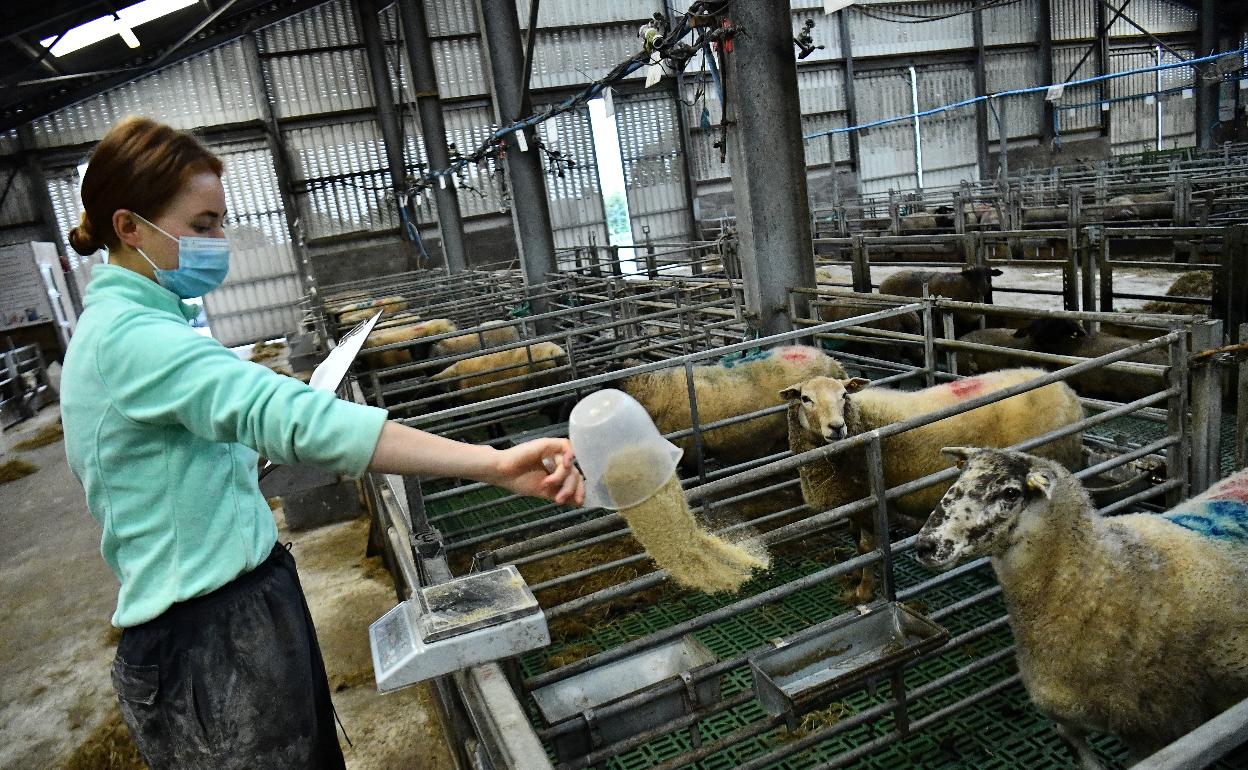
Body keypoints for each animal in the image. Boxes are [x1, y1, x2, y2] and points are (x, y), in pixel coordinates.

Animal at [778, 369, 1083, 604]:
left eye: (844, 395)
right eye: (805, 399)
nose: (836, 427)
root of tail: (1068, 393)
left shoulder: (869, 502)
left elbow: (867, 548)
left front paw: (864, 590)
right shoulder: (853, 503)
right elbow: (857, 546)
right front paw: (854, 575)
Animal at [918, 449, 1248, 768]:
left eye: (1010, 493)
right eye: (960, 478)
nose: (924, 545)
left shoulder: (1157, 726)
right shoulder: (1068, 709)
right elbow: (1074, 744)